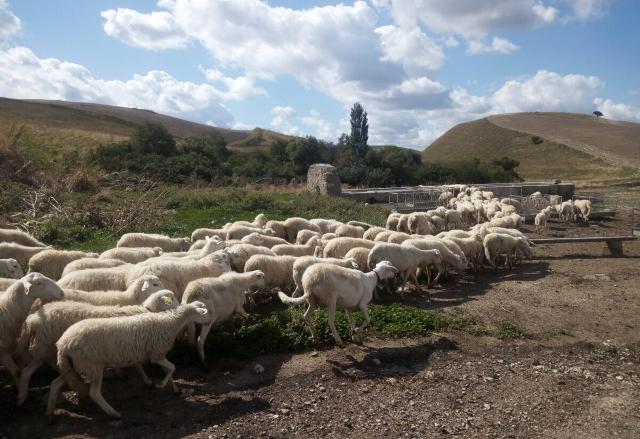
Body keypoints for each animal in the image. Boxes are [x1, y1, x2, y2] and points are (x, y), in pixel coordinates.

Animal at [16, 289, 179, 405]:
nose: (180, 306)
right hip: (45, 347)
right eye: (171, 298)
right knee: (30, 371)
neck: (147, 310)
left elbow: (137, 364)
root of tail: (34, 319)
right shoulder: (130, 342)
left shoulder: (128, 343)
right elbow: (138, 365)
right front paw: (148, 381)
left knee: (33, 370)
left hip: (45, 349)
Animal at [46, 301, 210, 418]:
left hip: (73, 366)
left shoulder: (157, 354)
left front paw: (174, 389)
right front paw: (161, 385)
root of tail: (63, 343)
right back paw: (113, 413)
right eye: (203, 313)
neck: (171, 323)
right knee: (94, 393)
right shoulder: (156, 354)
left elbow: (169, 369)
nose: (209, 322)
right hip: (93, 366)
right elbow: (172, 367)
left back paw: (50, 411)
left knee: (55, 384)